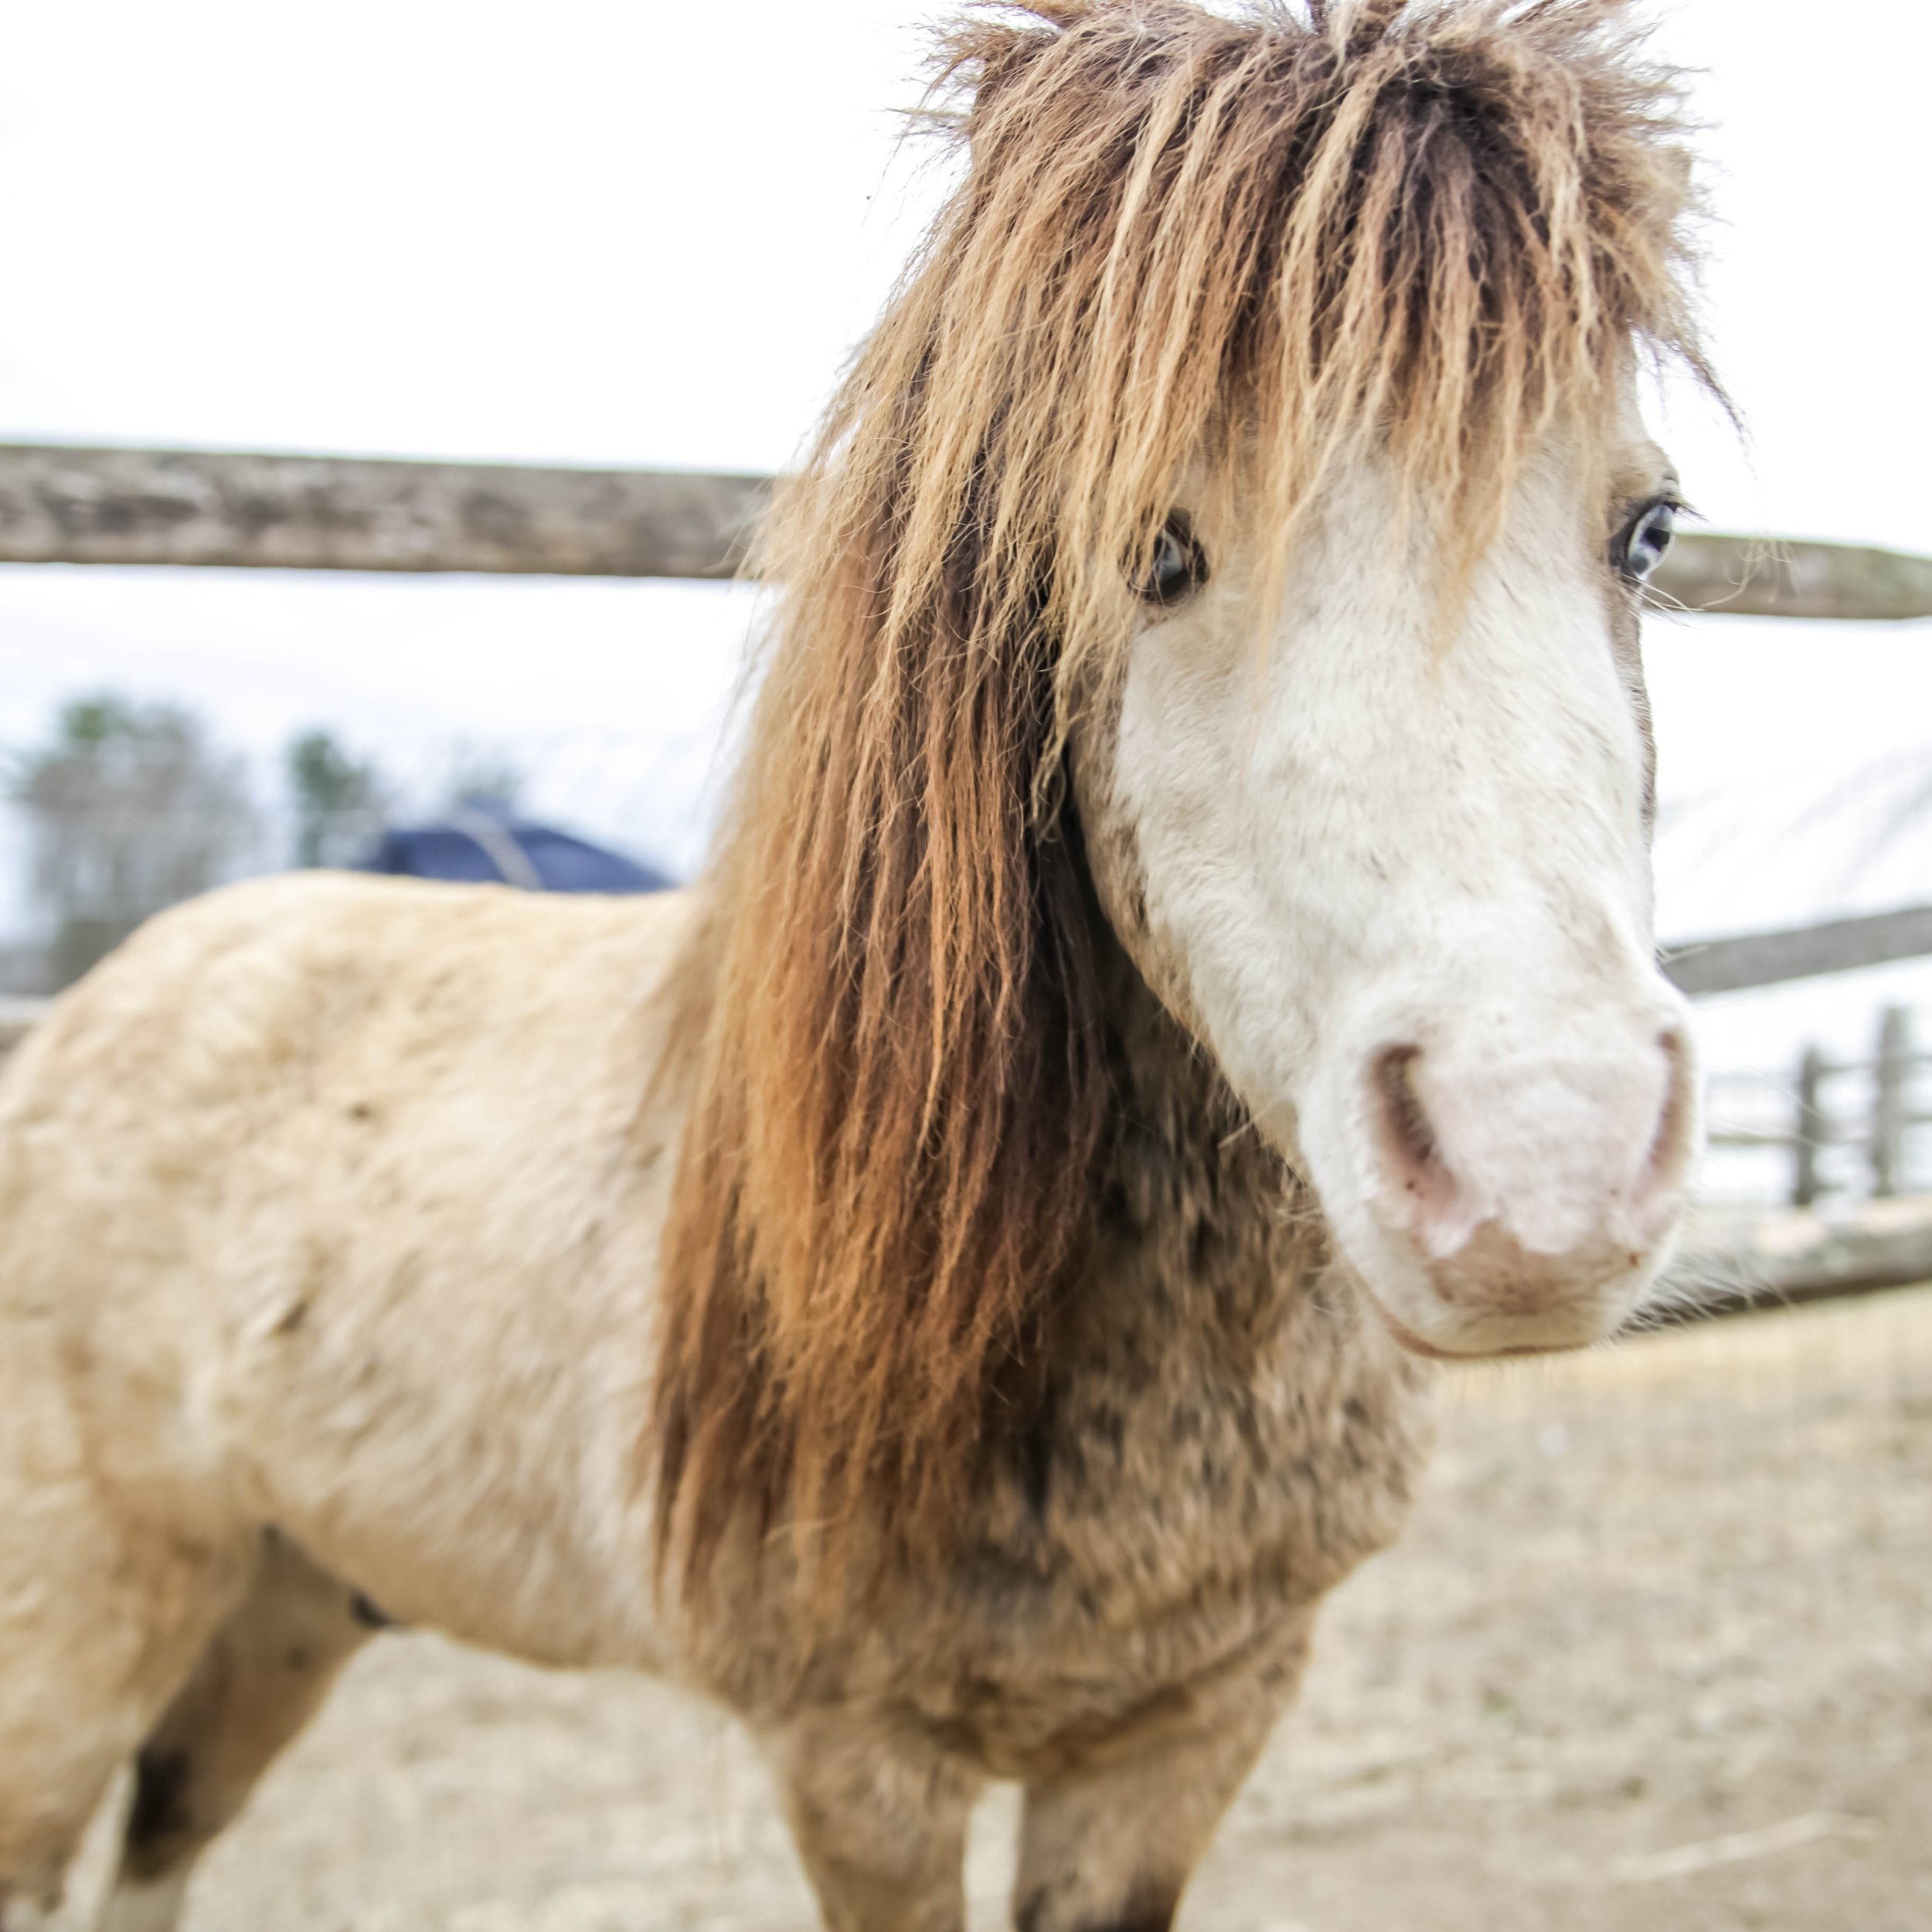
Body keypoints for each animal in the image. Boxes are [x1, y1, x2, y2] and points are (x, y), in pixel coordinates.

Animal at [0, 3, 1715, 1927]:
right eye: (1150, 547)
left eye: (1646, 529)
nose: (1545, 1155)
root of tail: (84, 1015)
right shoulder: (857, 1761)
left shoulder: (1189, 1725)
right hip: (80, 1637)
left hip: (284, 1607)